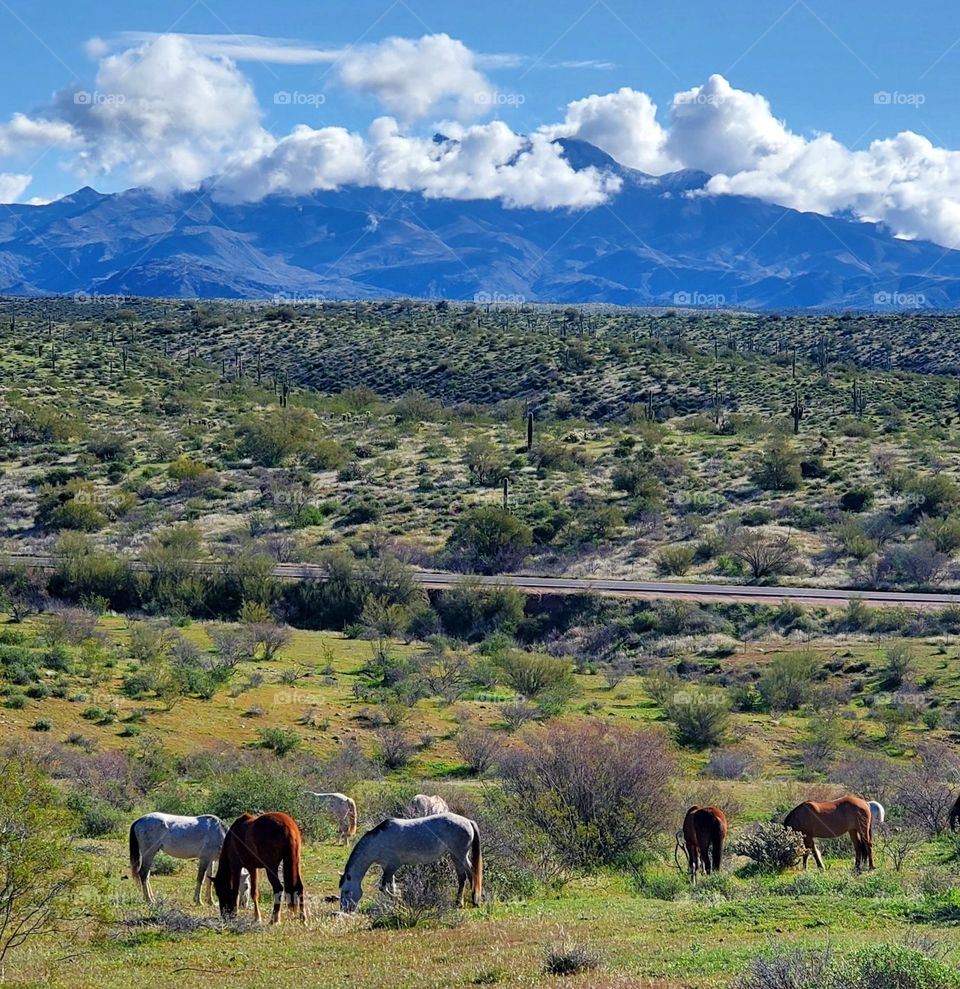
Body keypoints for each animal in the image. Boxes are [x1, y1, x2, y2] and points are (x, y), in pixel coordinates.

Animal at [339, 812, 482, 913]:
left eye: (346, 891)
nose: (344, 909)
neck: (377, 842)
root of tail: (468, 821)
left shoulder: (392, 866)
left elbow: (384, 887)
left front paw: (399, 902)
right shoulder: (388, 867)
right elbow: (392, 885)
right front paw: (394, 904)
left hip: (457, 855)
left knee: (462, 877)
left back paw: (460, 902)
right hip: (461, 856)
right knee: (471, 873)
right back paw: (475, 900)